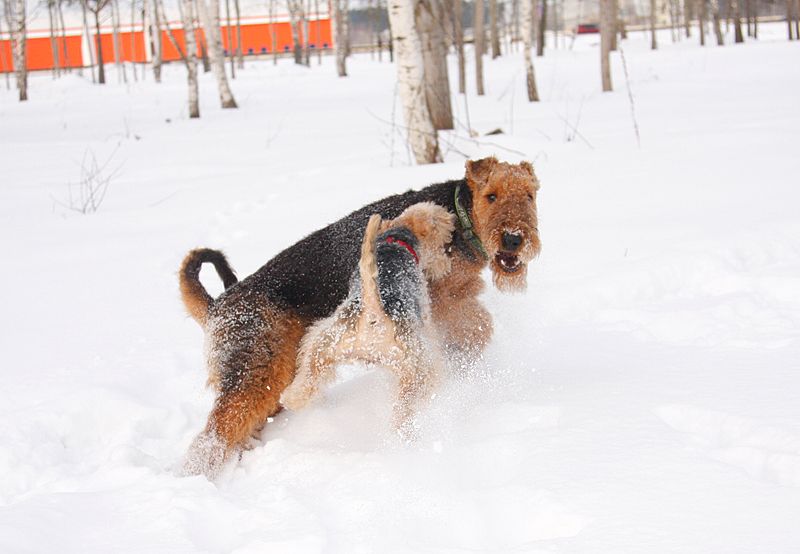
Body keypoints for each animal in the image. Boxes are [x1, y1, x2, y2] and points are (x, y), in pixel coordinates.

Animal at [282, 202, 456, 436]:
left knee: (307, 379)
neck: (397, 239)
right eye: (442, 240)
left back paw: (291, 399)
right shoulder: (425, 315)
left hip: (324, 344)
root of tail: (373, 316)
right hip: (415, 368)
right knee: (404, 409)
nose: (446, 265)